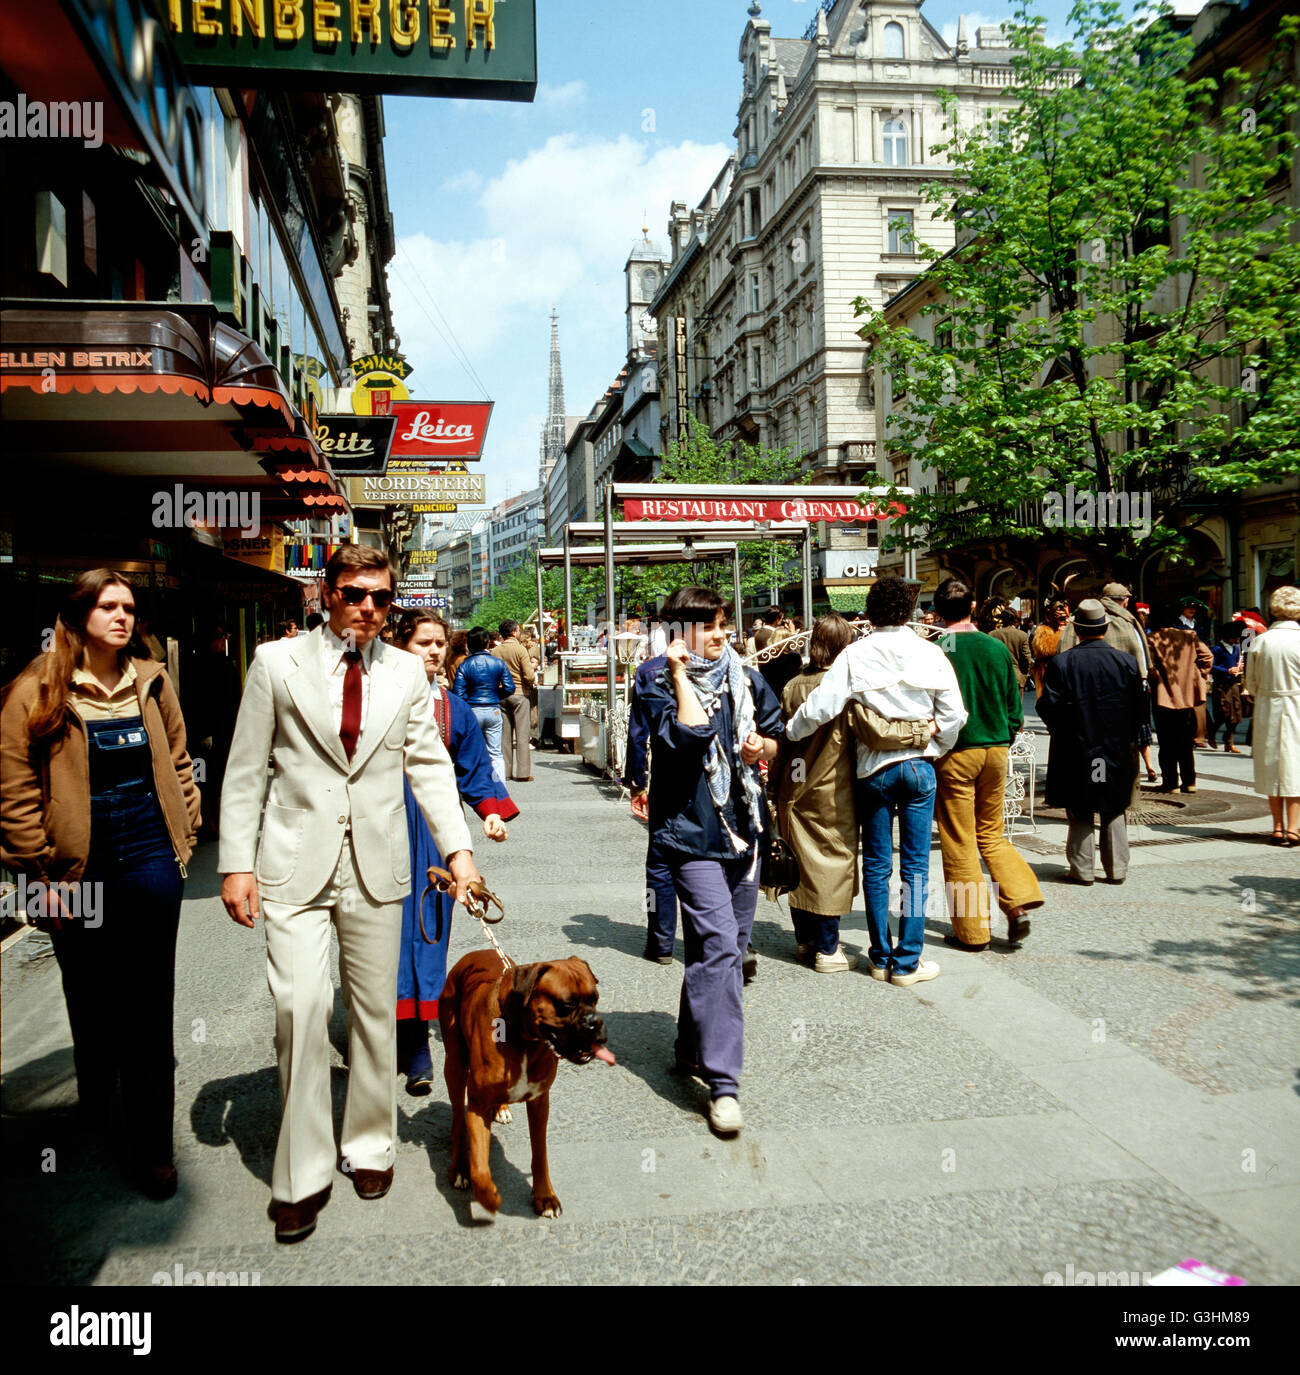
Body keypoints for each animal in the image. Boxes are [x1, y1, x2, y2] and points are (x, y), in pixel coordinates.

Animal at [440, 951, 613, 1221]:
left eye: (594, 999)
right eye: (567, 1005)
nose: (595, 1021)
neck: (523, 1040)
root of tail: (472, 955)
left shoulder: (540, 1101)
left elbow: (540, 1153)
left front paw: (545, 1197)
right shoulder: (477, 1105)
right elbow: (480, 1164)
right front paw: (488, 1197)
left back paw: (501, 1108)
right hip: (455, 1066)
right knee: (458, 1120)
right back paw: (459, 1169)